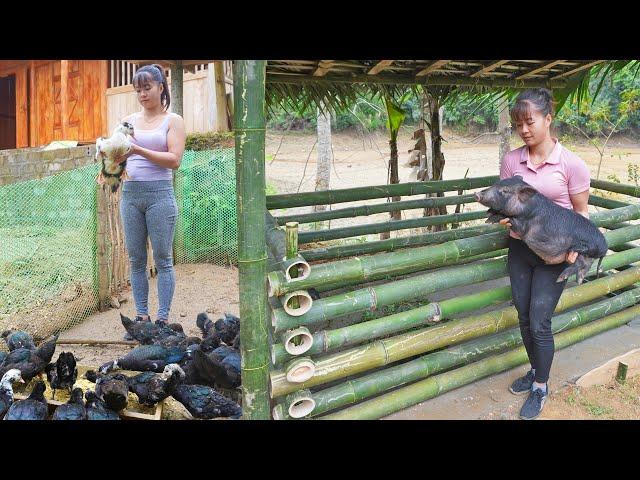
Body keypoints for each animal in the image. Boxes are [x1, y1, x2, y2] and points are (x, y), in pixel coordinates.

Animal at [476, 176, 604, 284]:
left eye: (505, 191)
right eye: (496, 183)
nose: (477, 193)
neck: (528, 207)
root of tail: (604, 247)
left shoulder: (526, 228)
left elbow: (510, 220)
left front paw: (489, 220)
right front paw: (489, 214)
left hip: (584, 250)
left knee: (580, 263)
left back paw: (560, 278)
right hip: (587, 256)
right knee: (586, 265)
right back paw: (578, 281)